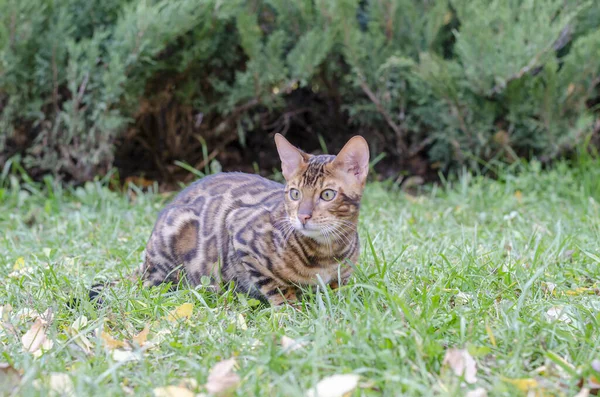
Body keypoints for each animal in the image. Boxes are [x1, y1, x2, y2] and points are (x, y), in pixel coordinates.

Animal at [139, 133, 370, 304]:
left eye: (327, 194)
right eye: (295, 194)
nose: (303, 216)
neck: (327, 251)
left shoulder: (342, 278)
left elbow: (339, 292)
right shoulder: (241, 232)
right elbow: (277, 287)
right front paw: (291, 310)